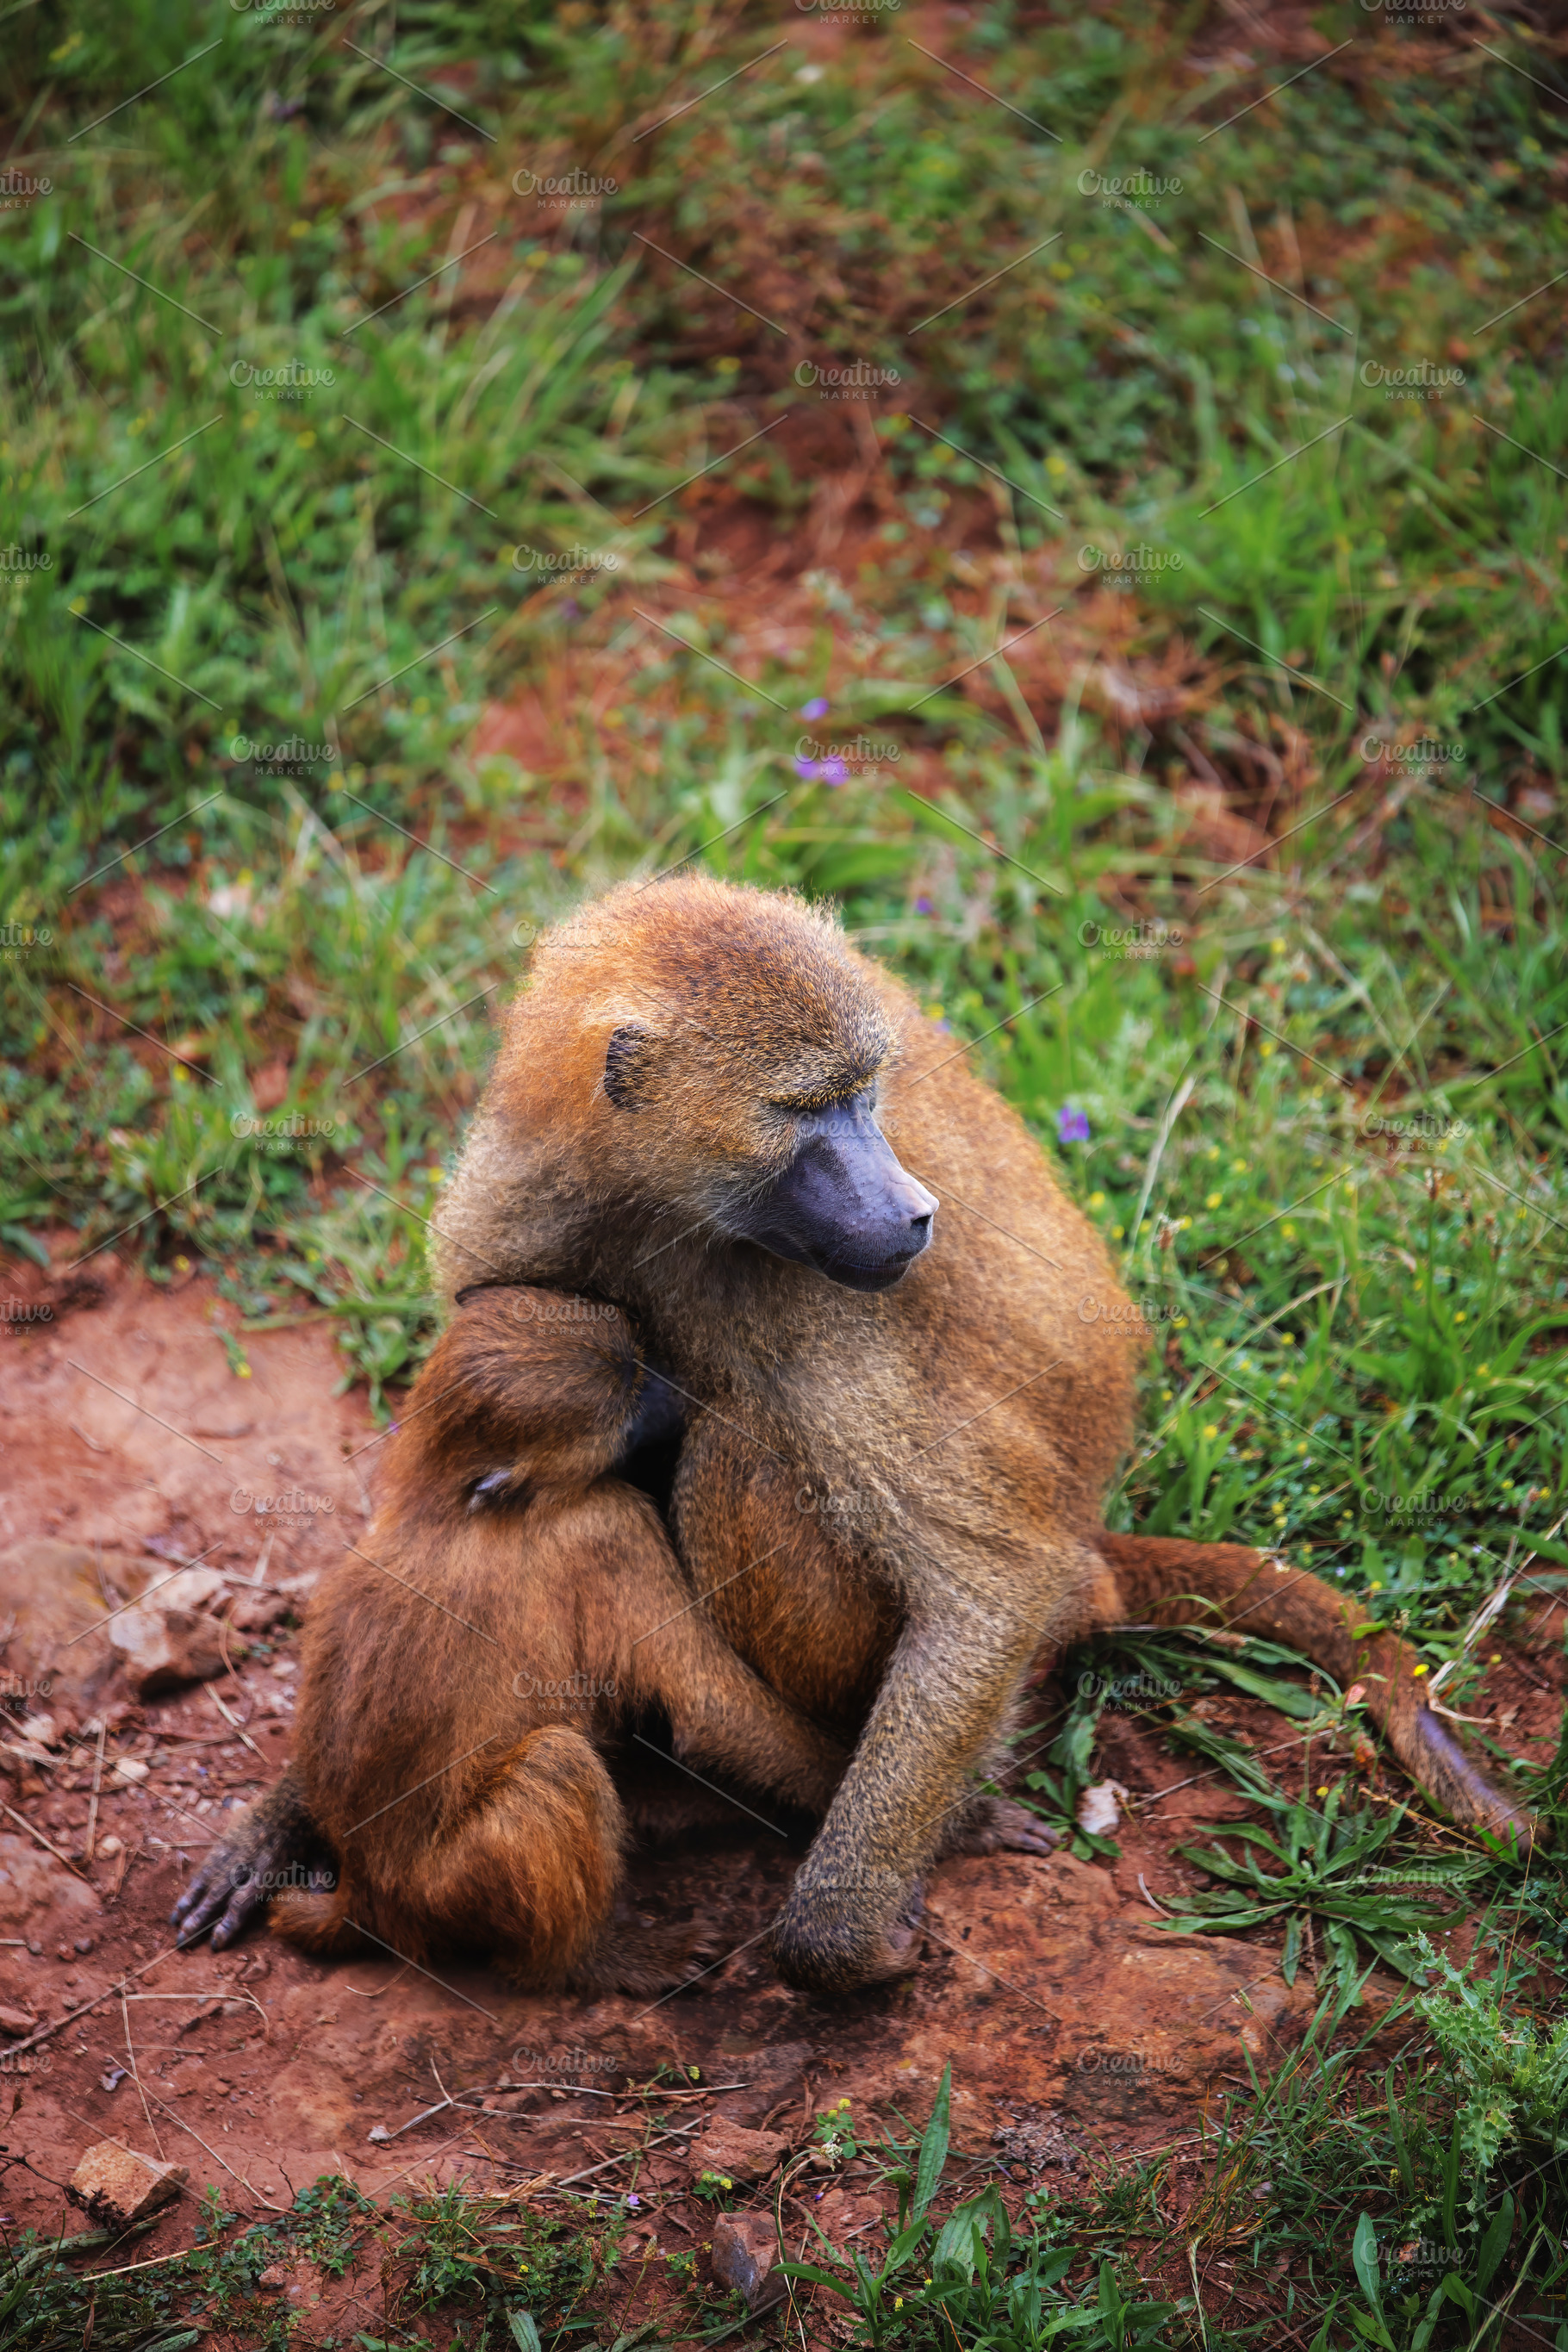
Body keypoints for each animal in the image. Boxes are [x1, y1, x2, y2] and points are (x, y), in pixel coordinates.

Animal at [172, 1284, 853, 1990]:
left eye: (642, 1362)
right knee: (556, 1762)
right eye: (632, 1407)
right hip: (448, 1890)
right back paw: (592, 1959)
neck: (447, 1504)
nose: (679, 1391)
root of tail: (365, 1896)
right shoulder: (611, 1525)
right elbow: (713, 1713)